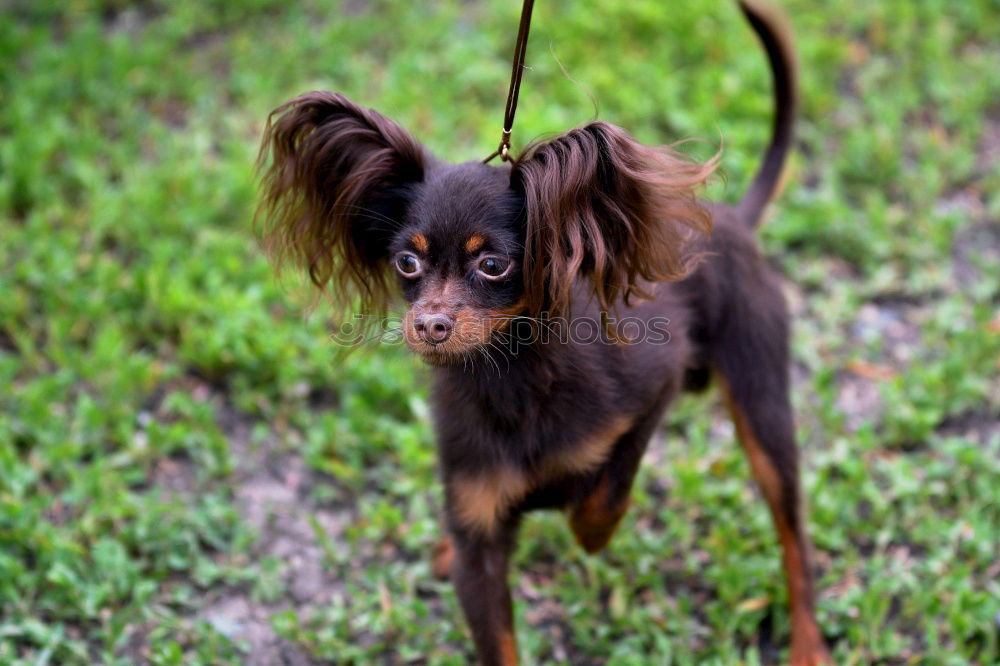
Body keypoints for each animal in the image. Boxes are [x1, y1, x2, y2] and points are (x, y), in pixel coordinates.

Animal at [256, 1, 828, 664]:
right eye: (407, 262)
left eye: (493, 264)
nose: (429, 324)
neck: (510, 377)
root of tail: (733, 219)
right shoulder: (478, 542)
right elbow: (495, 632)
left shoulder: (651, 391)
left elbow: (608, 489)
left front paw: (592, 530)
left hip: (762, 405)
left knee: (794, 537)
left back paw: (808, 643)